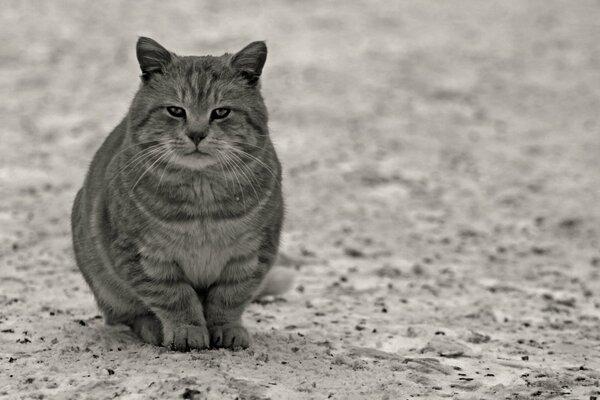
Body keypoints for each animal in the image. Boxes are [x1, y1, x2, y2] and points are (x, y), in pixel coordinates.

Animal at [69, 36, 290, 350]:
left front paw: (227, 328)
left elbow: (229, 299)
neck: (203, 197)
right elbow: (175, 298)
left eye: (221, 112)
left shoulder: (251, 255)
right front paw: (187, 330)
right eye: (176, 110)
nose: (196, 134)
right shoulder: (145, 256)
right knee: (128, 315)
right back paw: (152, 328)